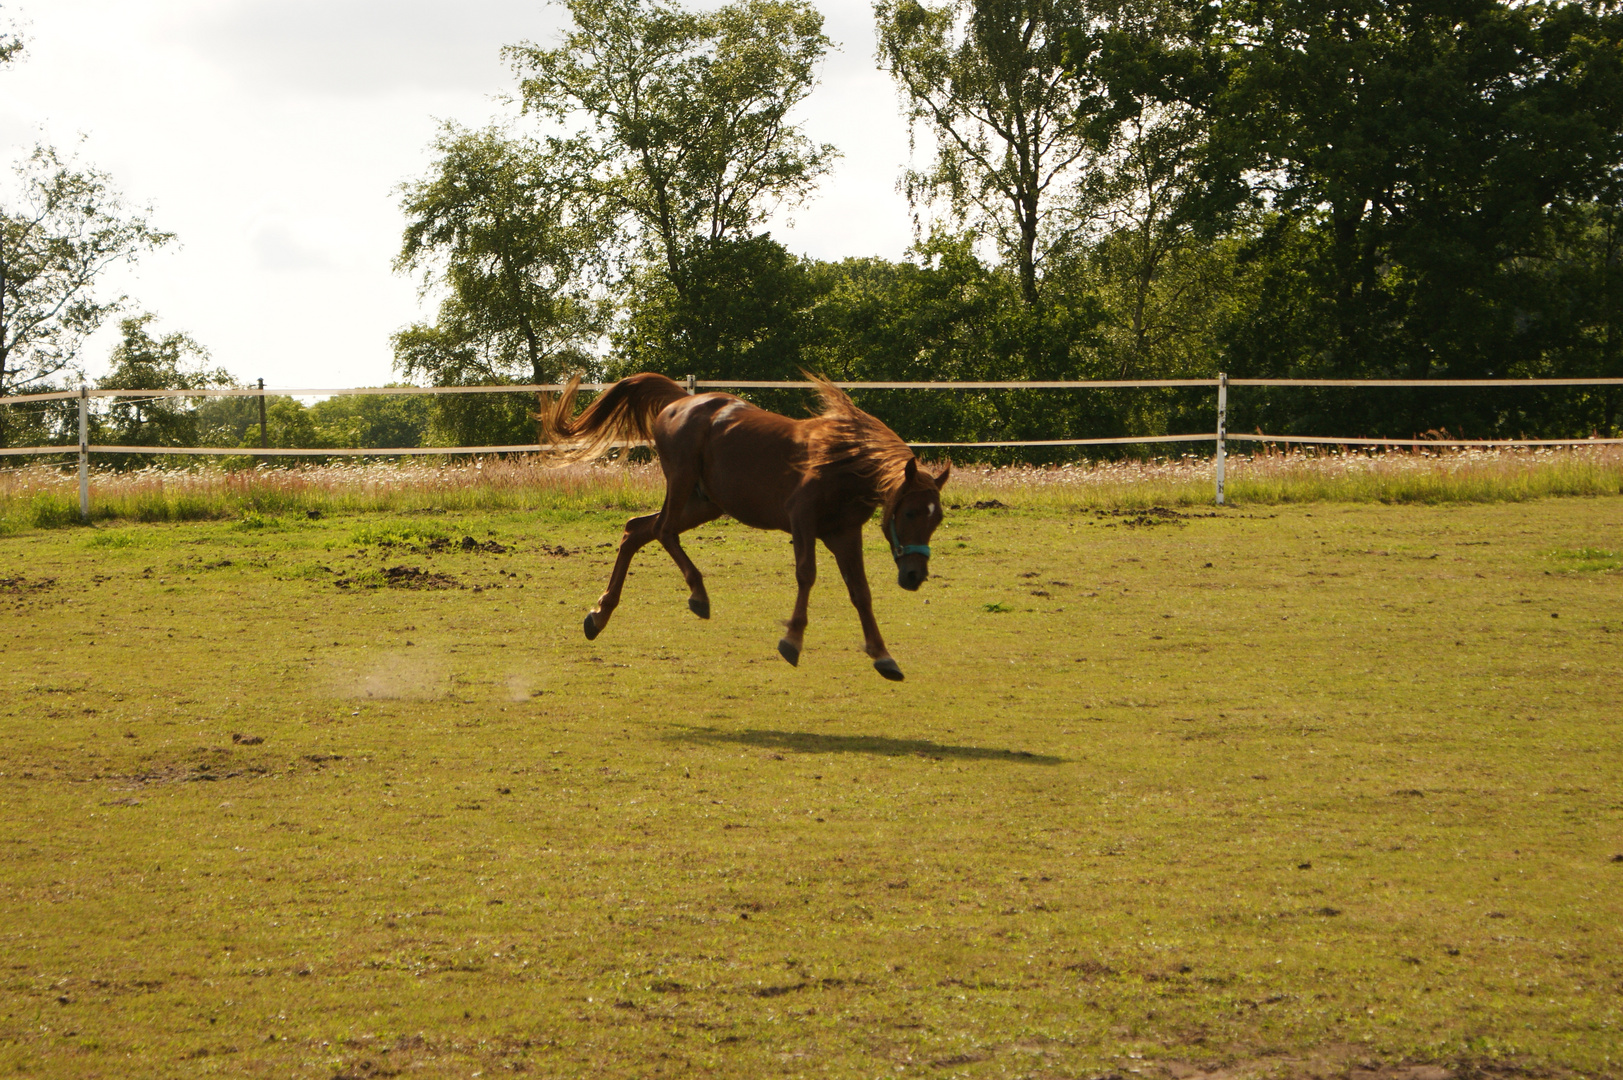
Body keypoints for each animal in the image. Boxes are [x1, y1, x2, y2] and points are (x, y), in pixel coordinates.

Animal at [538, 370, 947, 675]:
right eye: (910, 512)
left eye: (937, 518)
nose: (914, 576)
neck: (843, 461)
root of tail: (678, 401)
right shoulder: (802, 521)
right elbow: (806, 574)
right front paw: (792, 640)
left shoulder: (844, 533)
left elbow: (860, 591)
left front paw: (882, 655)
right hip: (683, 483)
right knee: (661, 530)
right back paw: (698, 595)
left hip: (705, 503)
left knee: (636, 529)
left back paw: (599, 615)